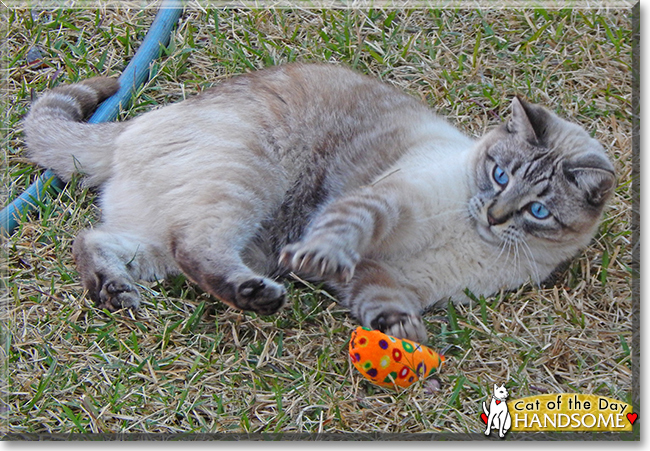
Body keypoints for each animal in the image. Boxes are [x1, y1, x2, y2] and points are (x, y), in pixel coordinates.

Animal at [24, 62, 612, 342]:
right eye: (498, 175)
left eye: (538, 211)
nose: (494, 214)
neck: (470, 239)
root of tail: (126, 130)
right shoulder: (385, 202)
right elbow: (343, 231)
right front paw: (319, 259)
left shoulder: (387, 279)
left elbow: (383, 304)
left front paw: (401, 334)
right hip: (248, 184)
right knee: (194, 245)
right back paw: (256, 296)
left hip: (166, 242)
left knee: (97, 239)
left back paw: (113, 289)